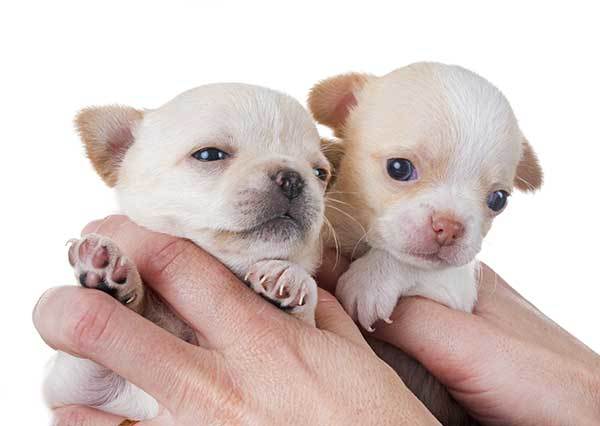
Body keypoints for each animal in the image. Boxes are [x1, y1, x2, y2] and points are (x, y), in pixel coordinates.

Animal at [44, 83, 330, 420]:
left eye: (320, 173)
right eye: (209, 155)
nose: (293, 178)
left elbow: (307, 313)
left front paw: (291, 276)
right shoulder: (75, 390)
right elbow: (90, 360)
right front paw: (106, 267)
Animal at [310, 61, 544, 424]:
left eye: (498, 200)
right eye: (398, 168)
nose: (449, 227)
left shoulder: (456, 289)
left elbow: (409, 262)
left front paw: (370, 282)